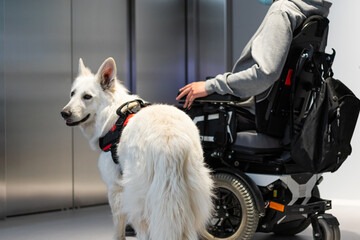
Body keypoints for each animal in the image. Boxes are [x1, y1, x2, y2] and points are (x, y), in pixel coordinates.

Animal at [60, 58, 214, 240]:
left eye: (87, 97)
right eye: (72, 94)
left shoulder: (115, 188)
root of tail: (170, 141)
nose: (64, 113)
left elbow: (118, 227)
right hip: (191, 200)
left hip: (138, 199)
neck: (112, 115)